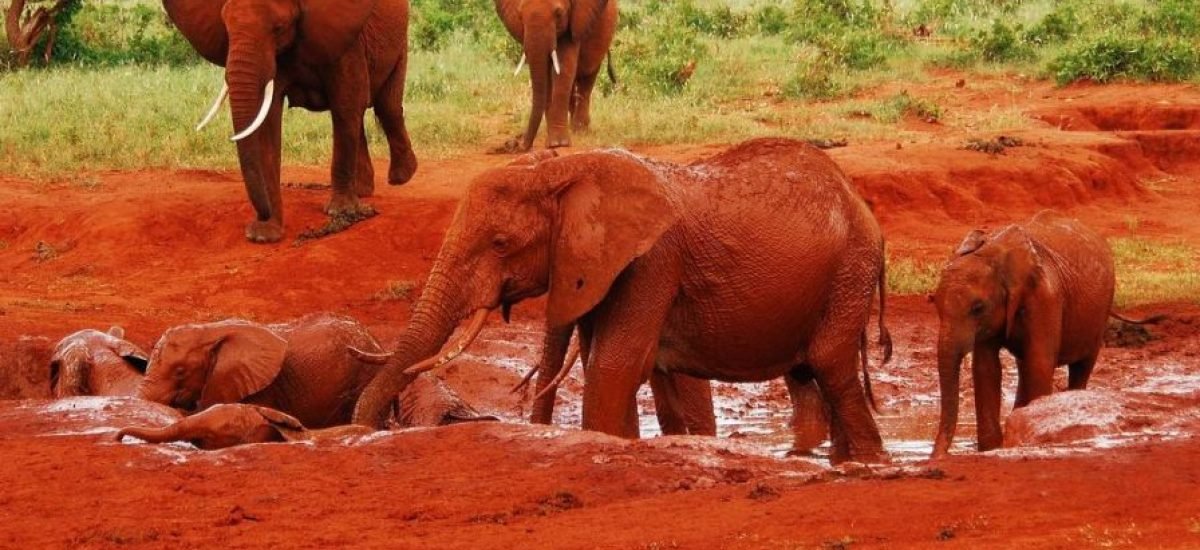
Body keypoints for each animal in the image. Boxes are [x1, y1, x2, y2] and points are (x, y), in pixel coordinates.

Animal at [164, 0, 418, 243]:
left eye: (278, 28)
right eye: (225, 27)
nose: (262, 213)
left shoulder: (347, 42)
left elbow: (346, 103)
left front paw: (341, 212)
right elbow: (267, 120)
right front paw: (264, 234)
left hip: (400, 42)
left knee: (386, 106)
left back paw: (401, 177)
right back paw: (363, 191)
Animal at [353, 138, 891, 464]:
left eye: (501, 243)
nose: (364, 431)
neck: (563, 169)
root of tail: (858, 200)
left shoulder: (652, 261)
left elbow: (615, 365)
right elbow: (620, 364)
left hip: (851, 268)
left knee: (830, 364)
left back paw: (869, 463)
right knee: (808, 373)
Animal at [496, 0, 618, 150]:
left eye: (558, 14)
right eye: (520, 16)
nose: (517, 145)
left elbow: (564, 68)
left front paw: (559, 144)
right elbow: (547, 76)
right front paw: (552, 142)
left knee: (587, 77)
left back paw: (580, 130)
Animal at [930, 210, 1156, 457]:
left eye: (977, 308)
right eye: (933, 303)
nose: (935, 458)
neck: (993, 252)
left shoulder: (1045, 297)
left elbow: (1040, 364)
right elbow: (986, 369)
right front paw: (992, 449)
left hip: (1101, 311)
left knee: (1081, 366)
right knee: (1024, 366)